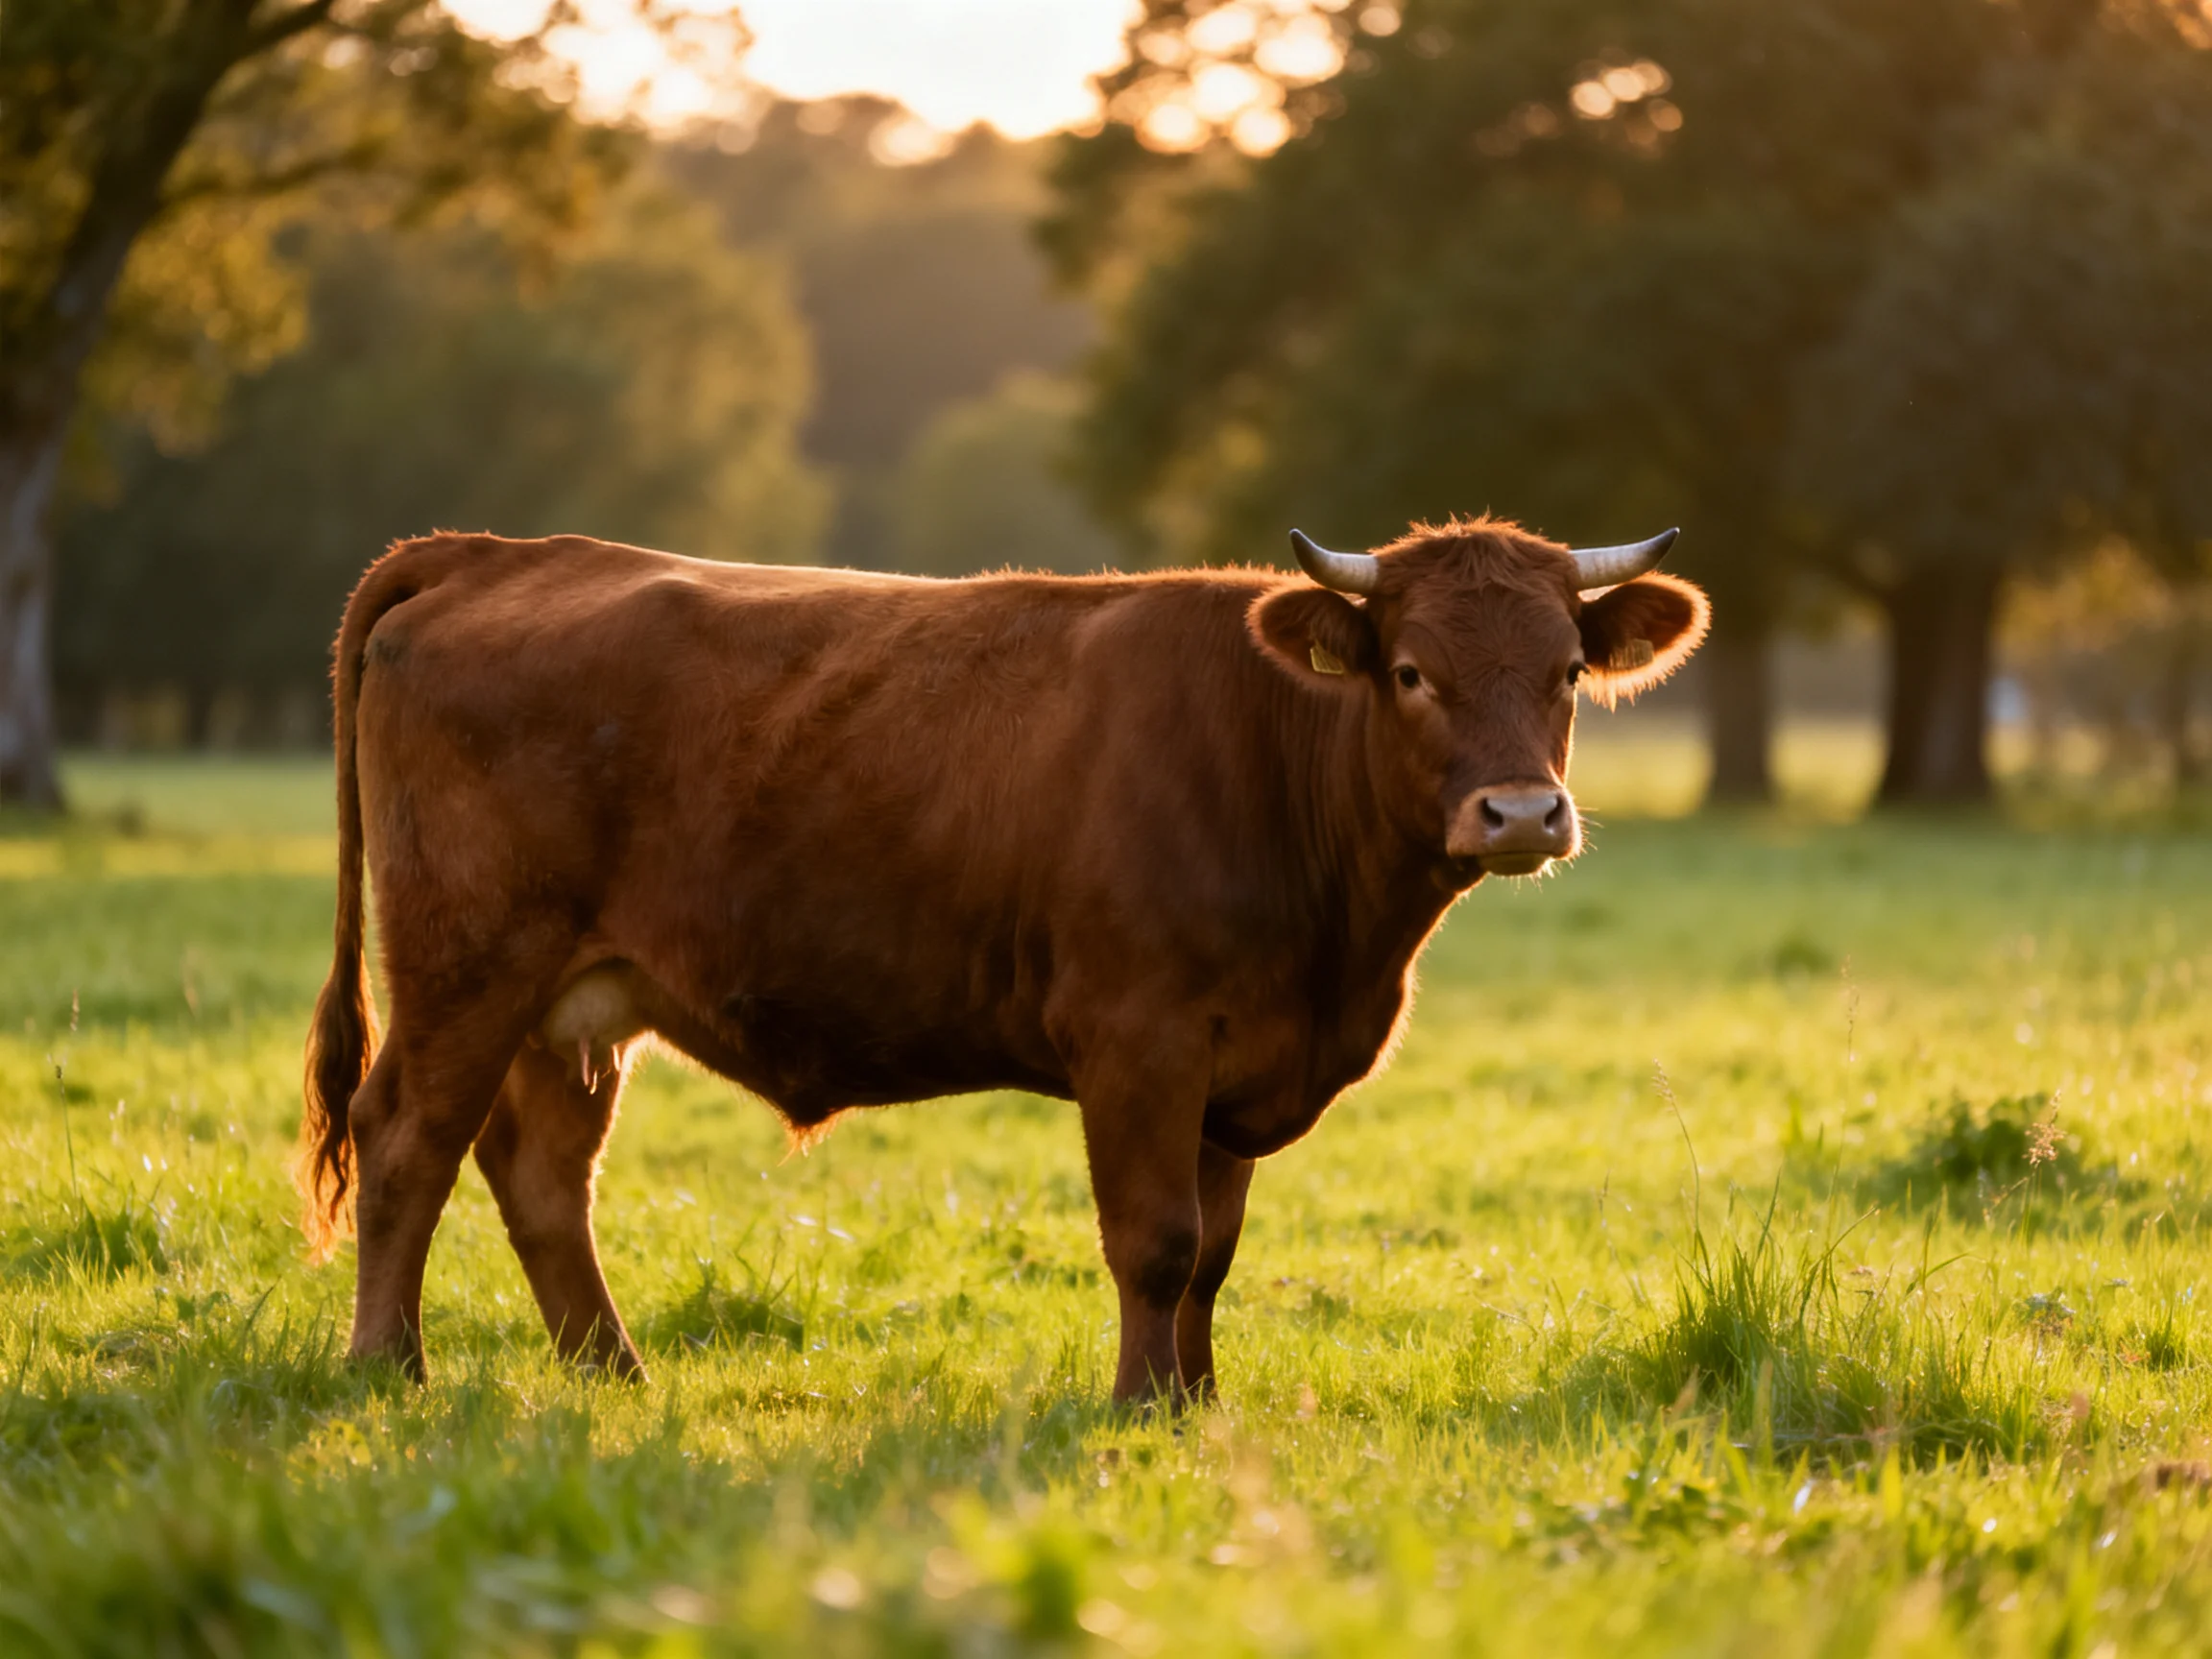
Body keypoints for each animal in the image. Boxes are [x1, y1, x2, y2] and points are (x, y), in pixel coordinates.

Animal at [299, 517, 1707, 1401]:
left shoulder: (1237, 1067)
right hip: (466, 965)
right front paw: (1140, 1410)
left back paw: (612, 1370)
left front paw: (1197, 1402)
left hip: (574, 1001)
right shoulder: (1138, 1039)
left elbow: (1214, 1254)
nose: (1519, 815)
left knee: (541, 1174)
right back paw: (388, 1366)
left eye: (1567, 671)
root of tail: (497, 552)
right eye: (1411, 672)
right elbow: (1155, 1240)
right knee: (406, 1139)